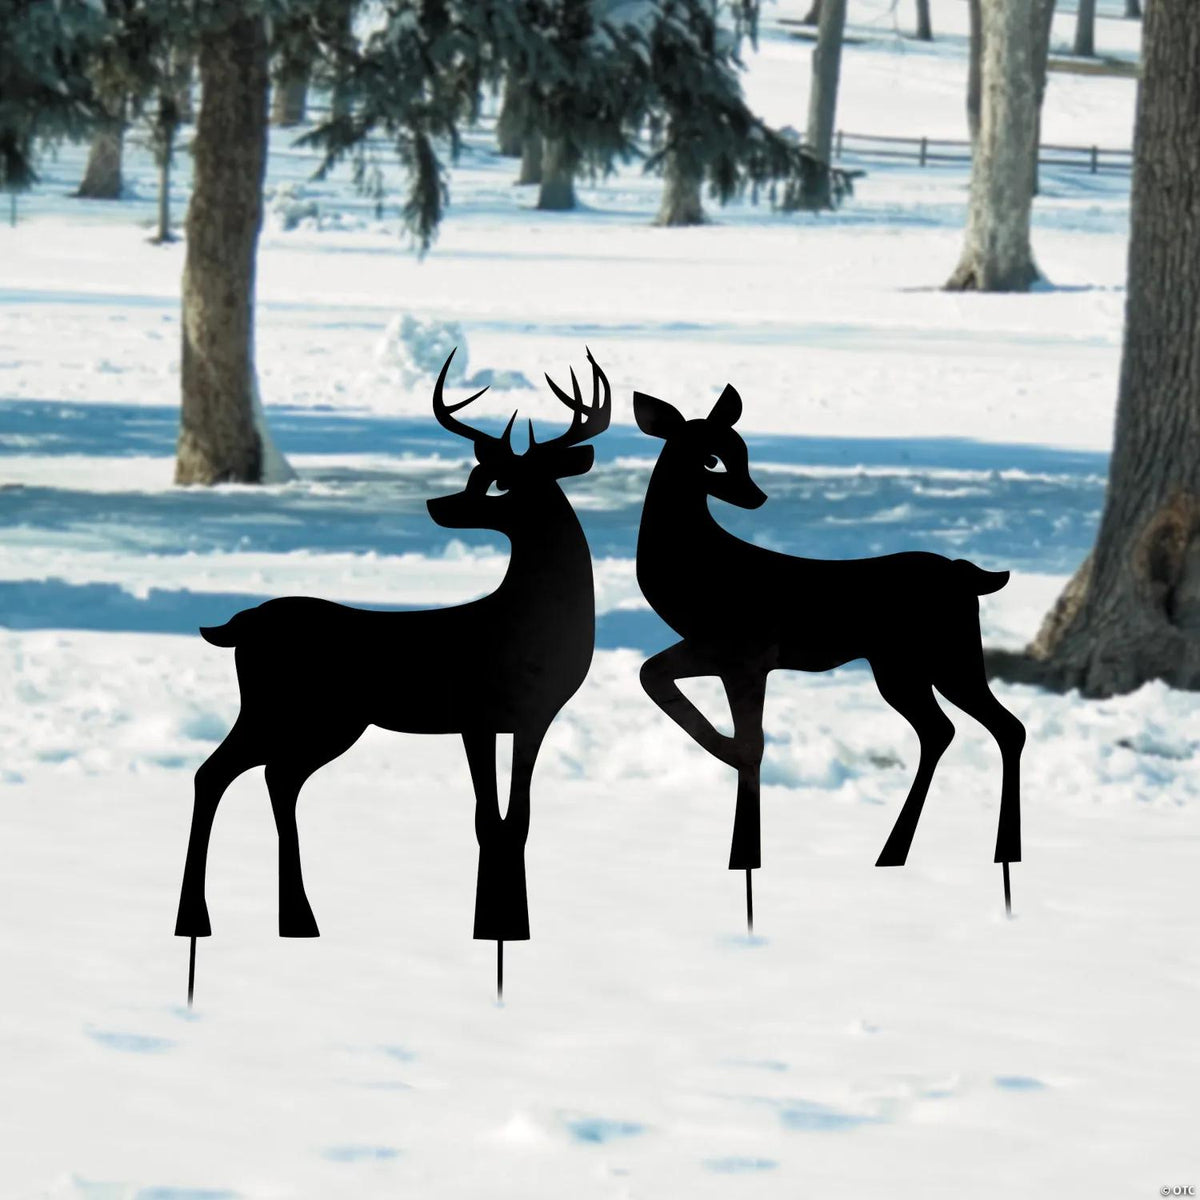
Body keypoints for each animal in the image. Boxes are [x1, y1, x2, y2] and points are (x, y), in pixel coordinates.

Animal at [175, 349, 611, 1001]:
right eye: (478, 474)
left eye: (499, 483)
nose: (437, 504)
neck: (527, 629)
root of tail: (238, 626)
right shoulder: (474, 714)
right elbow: (486, 819)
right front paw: (492, 930)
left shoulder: (532, 720)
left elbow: (519, 820)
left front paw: (511, 929)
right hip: (278, 708)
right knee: (215, 773)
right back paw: (197, 921)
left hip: (324, 722)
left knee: (277, 778)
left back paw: (298, 921)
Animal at [633, 382, 1025, 928]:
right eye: (712, 459)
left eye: (743, 453)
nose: (758, 496)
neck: (697, 566)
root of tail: (969, 575)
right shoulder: (722, 652)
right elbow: (652, 673)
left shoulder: (745, 652)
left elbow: (748, 741)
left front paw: (741, 833)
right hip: (905, 667)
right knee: (946, 730)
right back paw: (899, 852)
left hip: (946, 657)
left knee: (1001, 727)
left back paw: (989, 852)